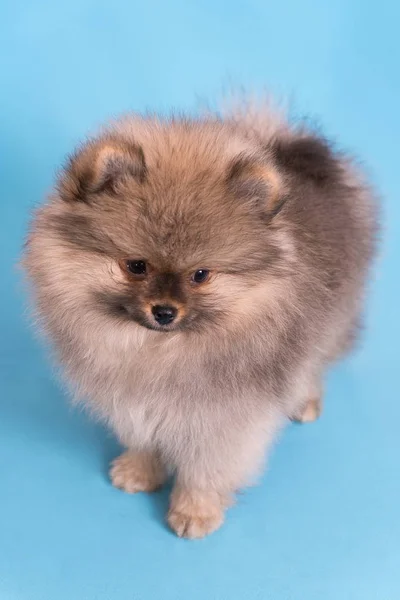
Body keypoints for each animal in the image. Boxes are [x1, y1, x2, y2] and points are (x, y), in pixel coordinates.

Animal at [23, 99, 380, 540]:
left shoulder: (224, 417)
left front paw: (196, 510)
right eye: (136, 266)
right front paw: (140, 471)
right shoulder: (129, 396)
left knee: (314, 362)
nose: (164, 311)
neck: (157, 350)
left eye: (200, 275)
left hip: (332, 321)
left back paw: (305, 400)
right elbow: (142, 435)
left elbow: (207, 466)